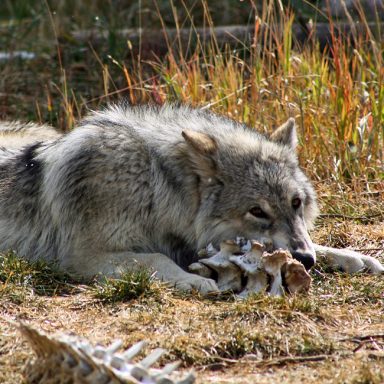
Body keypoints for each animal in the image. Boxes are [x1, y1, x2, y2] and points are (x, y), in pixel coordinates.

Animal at [0, 105, 382, 294]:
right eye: (257, 212)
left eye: (296, 203)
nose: (306, 261)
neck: (154, 184)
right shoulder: (83, 257)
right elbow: (155, 258)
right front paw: (194, 281)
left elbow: (316, 245)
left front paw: (354, 258)